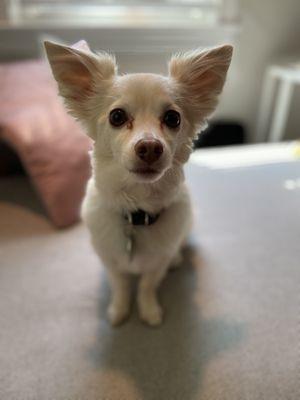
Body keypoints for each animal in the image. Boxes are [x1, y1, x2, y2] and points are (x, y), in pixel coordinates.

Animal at [44, 41, 232, 324]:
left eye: (173, 118)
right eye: (117, 117)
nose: (150, 147)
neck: (136, 212)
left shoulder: (157, 264)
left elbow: (146, 285)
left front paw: (148, 311)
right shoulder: (110, 261)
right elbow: (121, 284)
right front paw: (119, 311)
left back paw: (177, 258)